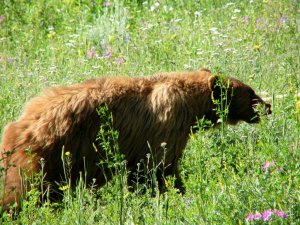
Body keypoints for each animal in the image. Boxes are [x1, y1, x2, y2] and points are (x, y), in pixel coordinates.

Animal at [0, 68, 272, 209]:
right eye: (251, 93)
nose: (268, 106)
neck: (191, 104)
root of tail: (18, 125)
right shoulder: (166, 128)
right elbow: (159, 170)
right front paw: (178, 196)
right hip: (42, 158)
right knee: (20, 192)